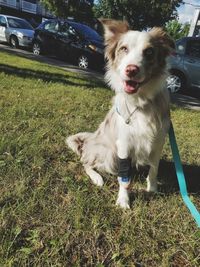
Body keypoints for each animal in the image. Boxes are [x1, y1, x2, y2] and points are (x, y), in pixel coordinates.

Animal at [66, 19, 174, 210]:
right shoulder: (124, 144)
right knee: (86, 163)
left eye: (149, 52)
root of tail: (89, 141)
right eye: (123, 48)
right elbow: (124, 179)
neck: (140, 102)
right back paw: (97, 178)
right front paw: (123, 200)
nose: (131, 69)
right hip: (108, 153)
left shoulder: (158, 142)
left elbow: (154, 169)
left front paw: (152, 189)